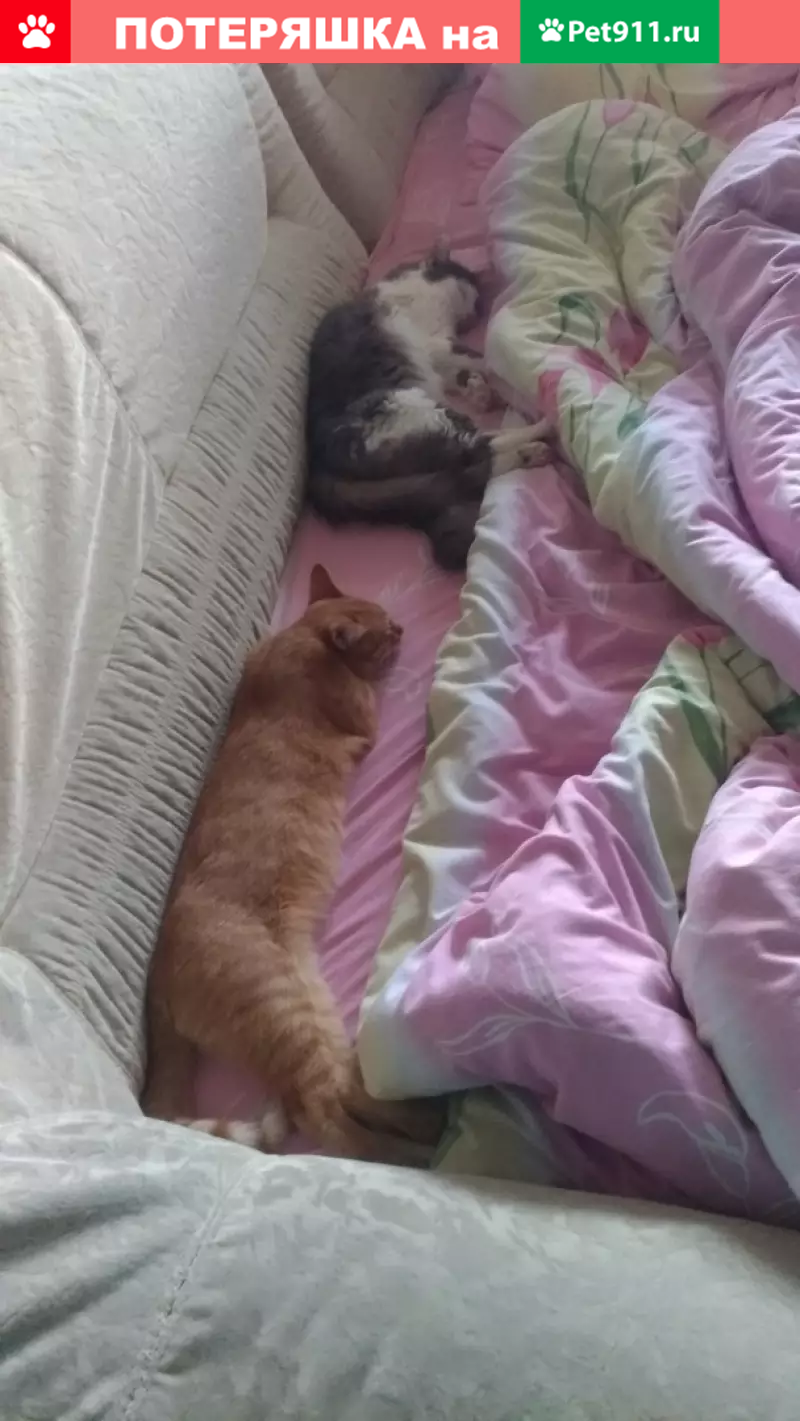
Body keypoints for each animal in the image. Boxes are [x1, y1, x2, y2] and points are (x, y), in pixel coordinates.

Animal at [143, 564, 443, 1163]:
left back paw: (422, 1121)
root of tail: (156, 982)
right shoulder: (365, 721)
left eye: (389, 616)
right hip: (284, 1010)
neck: (301, 638)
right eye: (386, 631)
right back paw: (417, 1147)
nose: (403, 628)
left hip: (308, 1000)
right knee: (326, 1113)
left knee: (338, 1090)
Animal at [305, 248, 554, 572]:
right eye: (471, 287)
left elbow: (461, 377)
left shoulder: (442, 361)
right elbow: (481, 358)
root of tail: (319, 466)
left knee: (471, 461)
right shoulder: (440, 343)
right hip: (414, 409)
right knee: (479, 453)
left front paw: (480, 392)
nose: (477, 311)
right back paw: (540, 430)